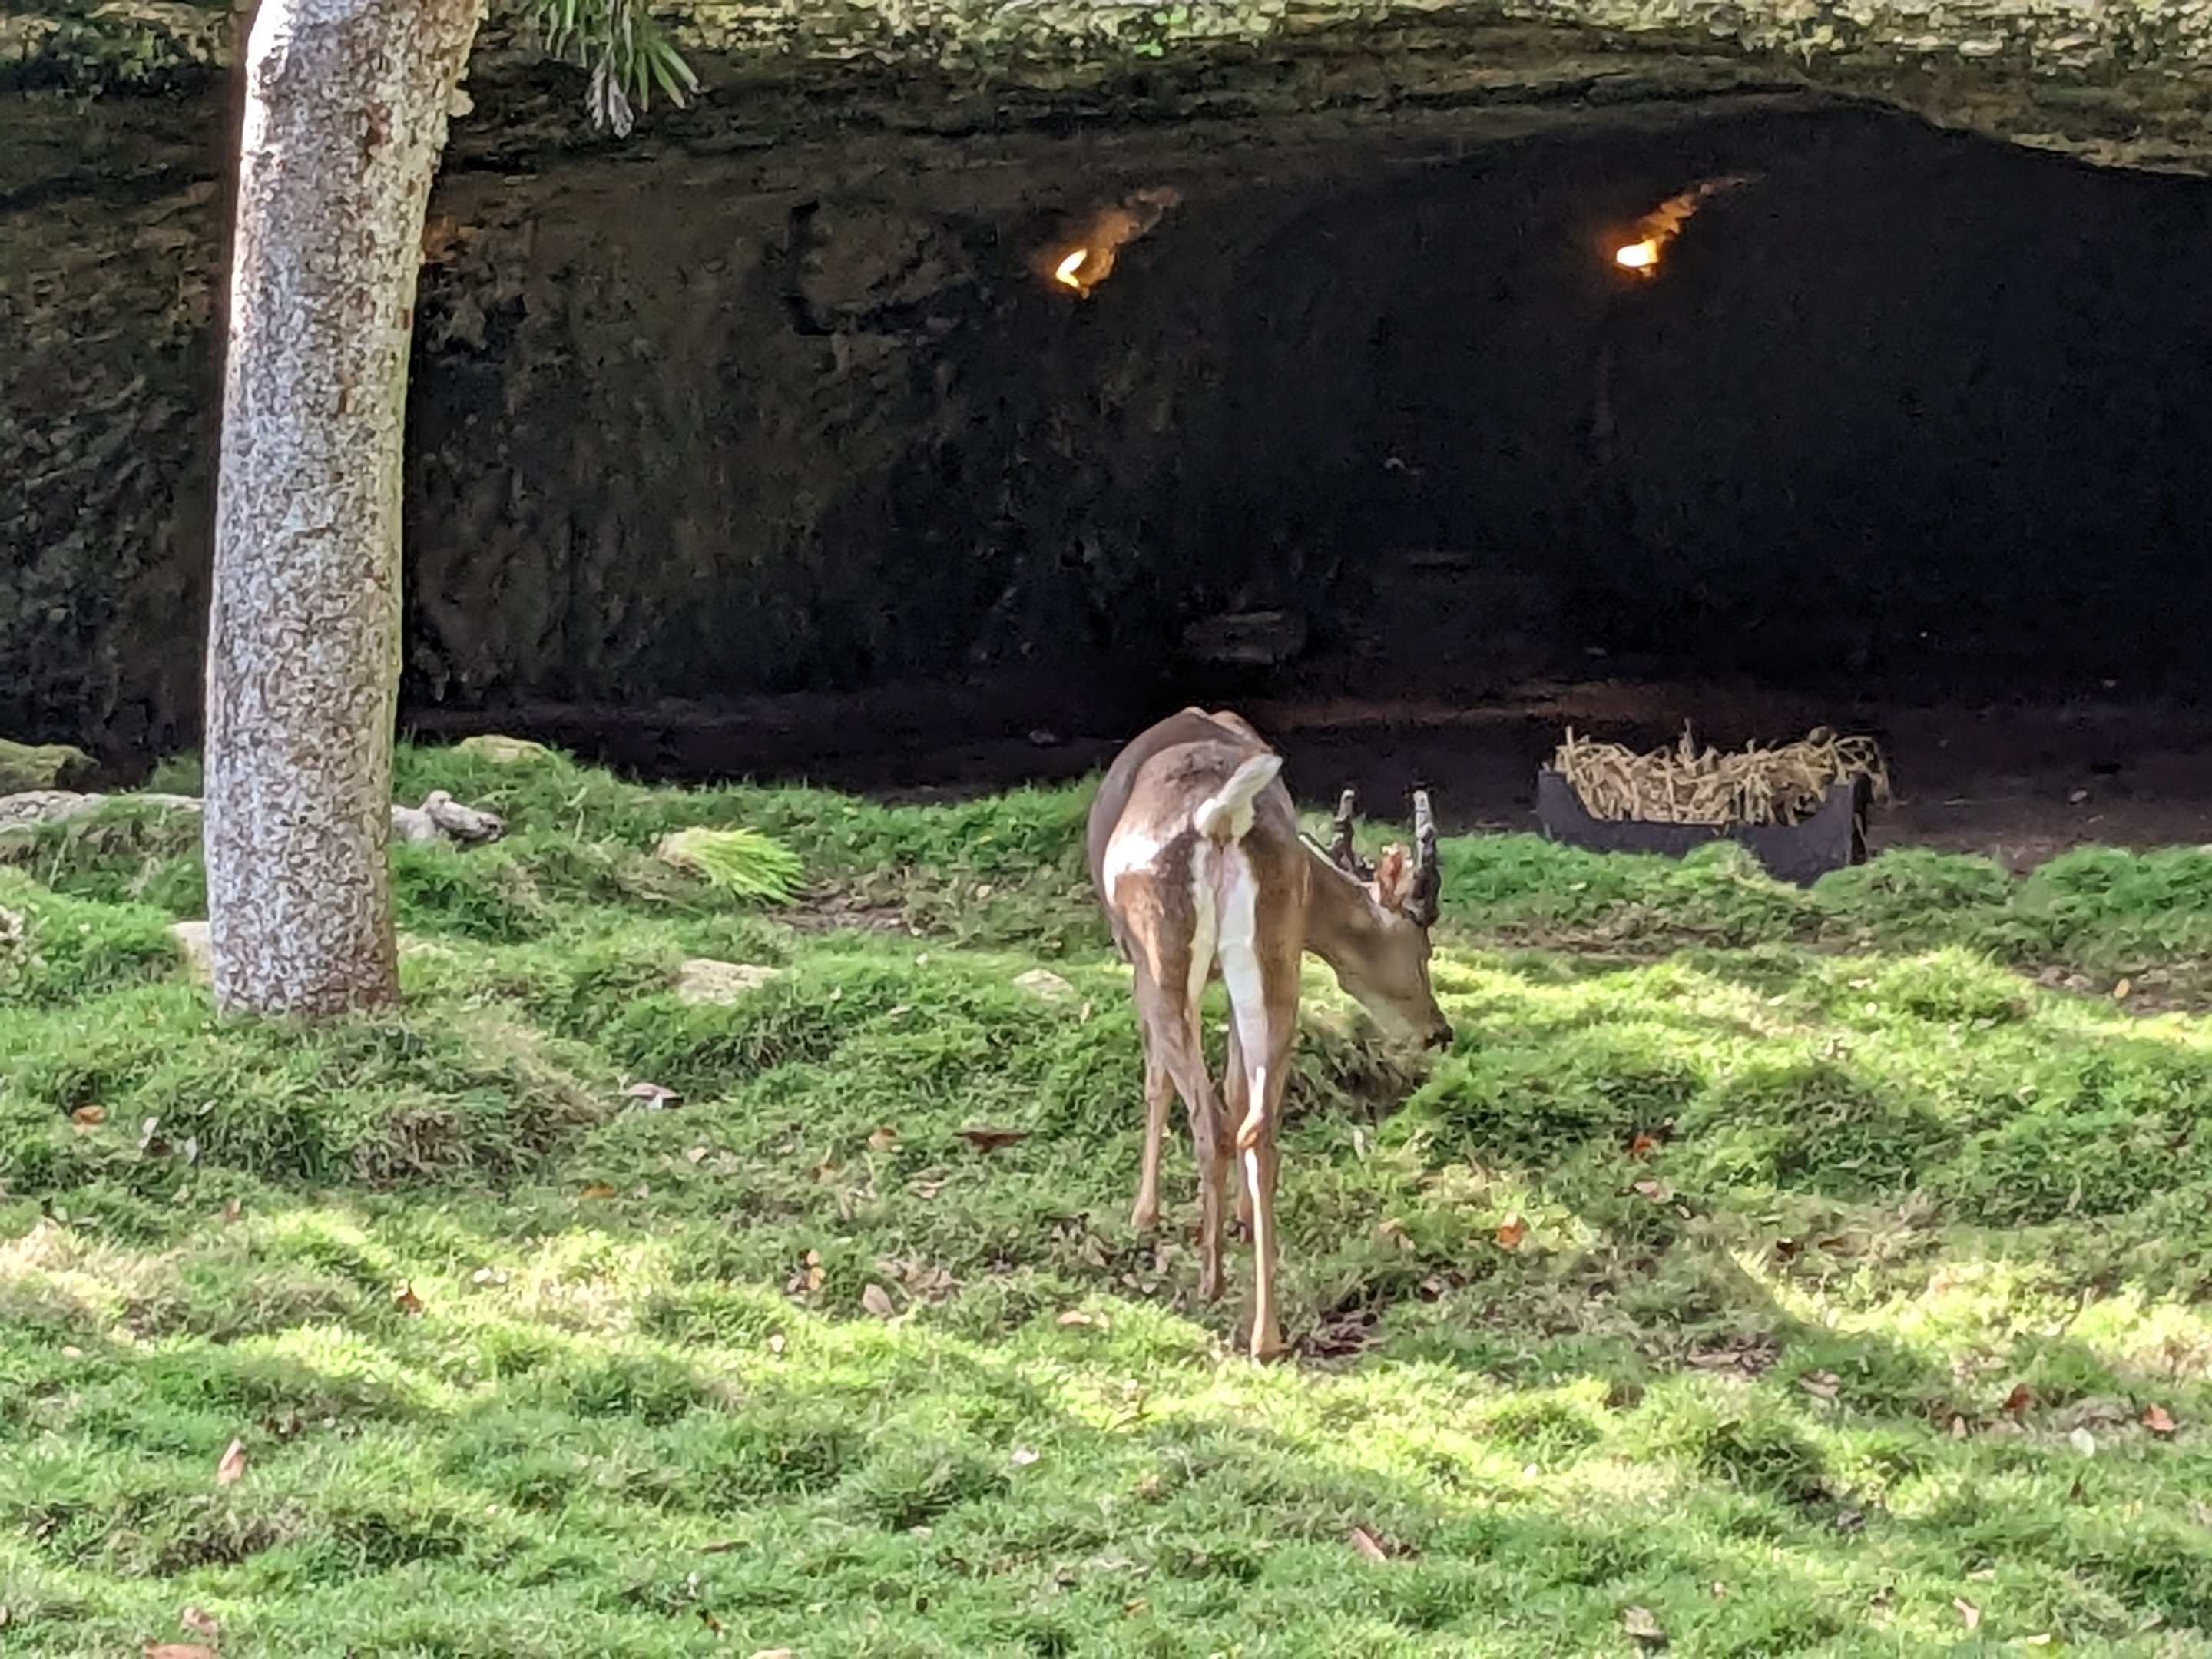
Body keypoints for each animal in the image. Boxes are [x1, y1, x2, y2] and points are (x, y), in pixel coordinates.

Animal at [1085, 707, 1451, 1361]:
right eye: (1423, 946)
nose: (1440, 1030)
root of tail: (1220, 819)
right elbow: (1236, 1091)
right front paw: (1241, 1218)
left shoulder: (1129, 958)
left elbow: (1156, 1082)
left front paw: (1144, 1213)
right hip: (1273, 957)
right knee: (1257, 1125)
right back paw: (1266, 1333)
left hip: (1160, 956)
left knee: (1206, 1116)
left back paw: (1210, 1280)